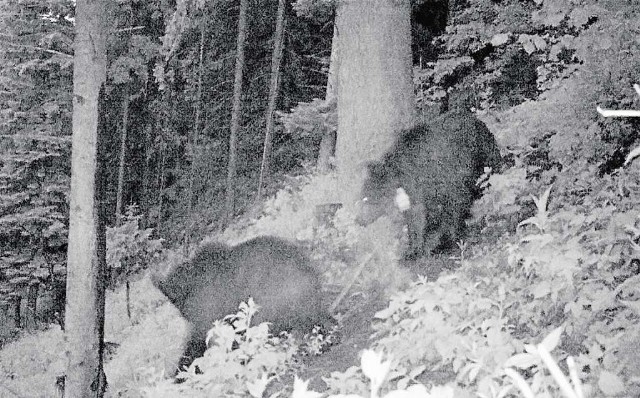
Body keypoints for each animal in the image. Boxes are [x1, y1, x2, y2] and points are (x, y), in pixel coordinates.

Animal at [360, 109, 500, 258]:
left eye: (366, 198)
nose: (359, 220)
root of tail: (476, 120)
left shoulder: (445, 180)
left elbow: (451, 208)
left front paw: (446, 242)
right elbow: (416, 217)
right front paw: (413, 248)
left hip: (485, 155)